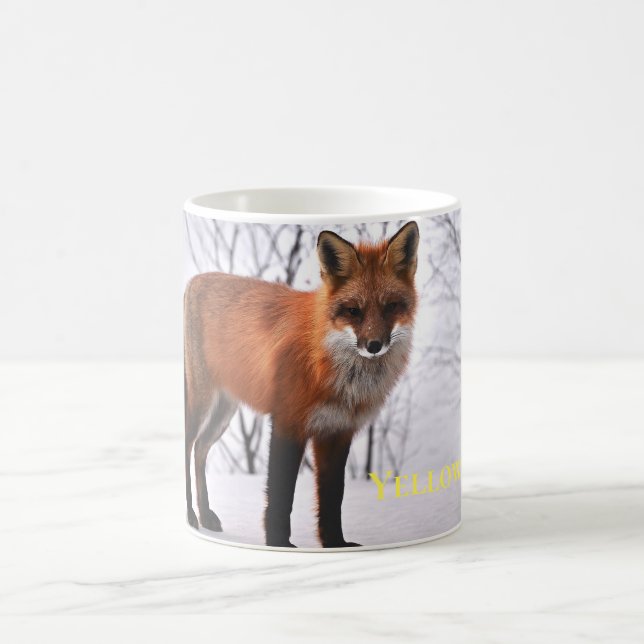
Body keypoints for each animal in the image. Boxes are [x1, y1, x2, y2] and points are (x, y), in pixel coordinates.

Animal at [184, 221, 419, 548]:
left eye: (390, 307)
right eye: (354, 310)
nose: (374, 346)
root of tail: (198, 278)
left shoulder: (336, 431)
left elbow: (333, 498)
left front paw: (335, 545)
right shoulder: (287, 422)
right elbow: (281, 495)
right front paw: (279, 544)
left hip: (223, 413)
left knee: (200, 450)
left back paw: (205, 516)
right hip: (200, 404)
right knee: (187, 448)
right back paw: (191, 516)